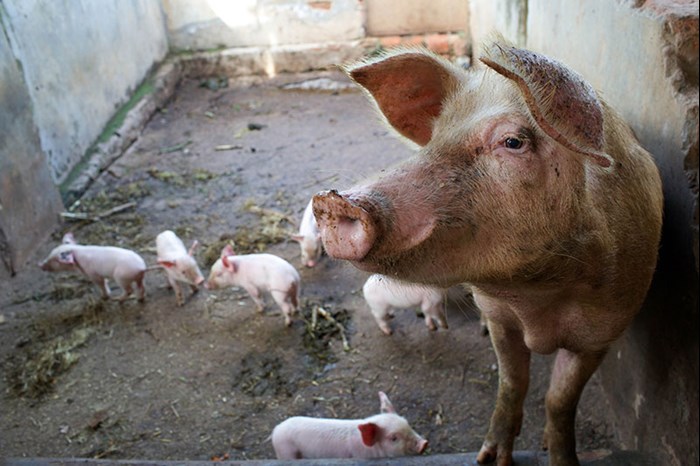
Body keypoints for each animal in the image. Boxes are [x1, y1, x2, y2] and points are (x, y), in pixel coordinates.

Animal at [312, 41, 660, 466]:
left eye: (513, 142)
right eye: (434, 139)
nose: (333, 201)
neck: (537, 299)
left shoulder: (603, 332)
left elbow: (560, 400)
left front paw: (559, 456)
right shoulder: (499, 317)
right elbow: (512, 382)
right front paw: (489, 459)